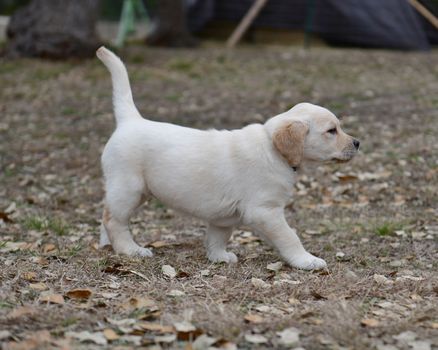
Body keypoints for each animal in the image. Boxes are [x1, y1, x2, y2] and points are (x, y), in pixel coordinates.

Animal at [96, 46, 360, 270]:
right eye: (332, 131)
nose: (357, 143)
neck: (272, 148)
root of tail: (131, 120)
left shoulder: (224, 216)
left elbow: (218, 236)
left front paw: (219, 256)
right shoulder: (265, 210)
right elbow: (290, 236)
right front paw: (306, 260)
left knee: (107, 214)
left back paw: (106, 244)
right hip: (129, 188)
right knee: (114, 220)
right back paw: (131, 250)